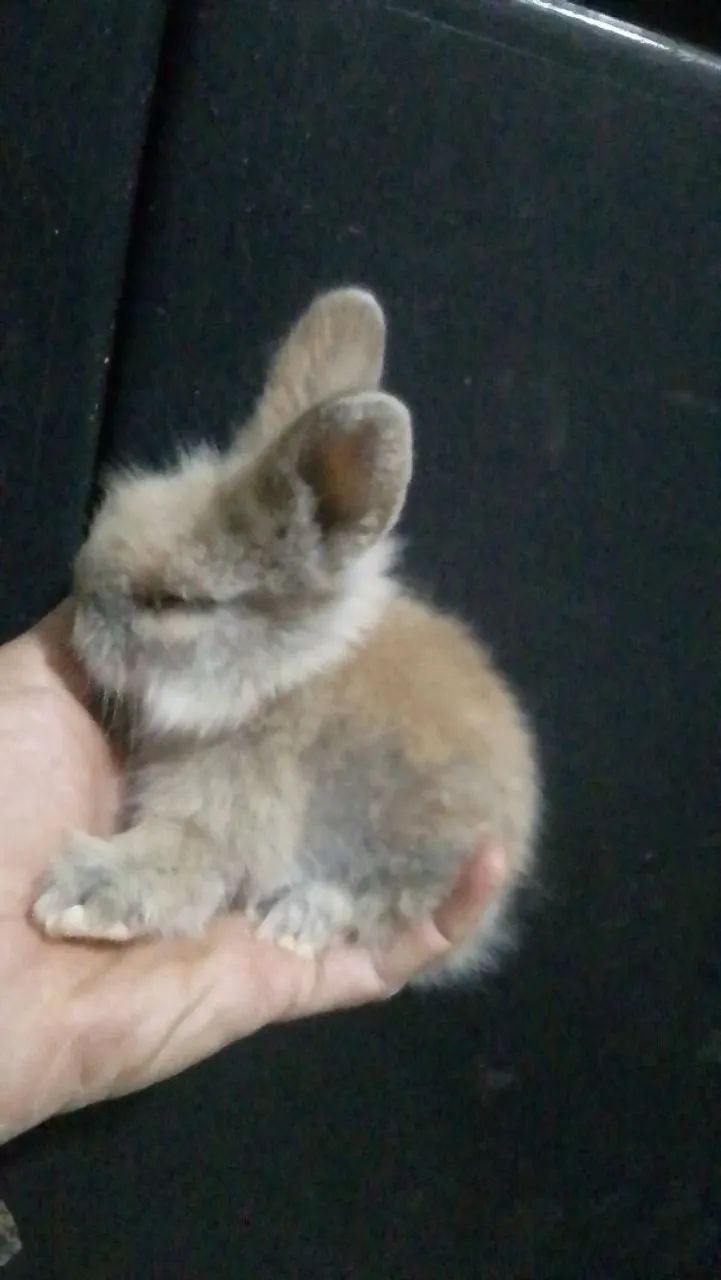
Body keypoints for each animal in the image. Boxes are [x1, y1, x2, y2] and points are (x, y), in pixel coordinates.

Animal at [31, 288, 540, 984]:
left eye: (171, 602)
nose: (80, 609)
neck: (276, 681)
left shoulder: (222, 818)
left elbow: (177, 856)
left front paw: (78, 898)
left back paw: (299, 919)